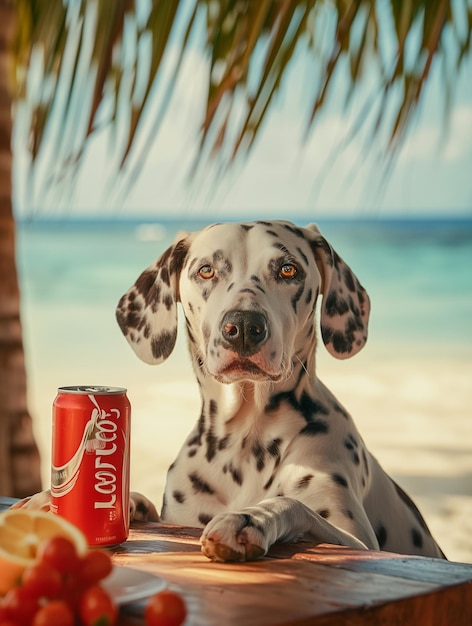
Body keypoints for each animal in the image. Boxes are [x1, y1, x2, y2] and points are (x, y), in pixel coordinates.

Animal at [19, 221, 446, 560]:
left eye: (288, 269)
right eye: (206, 270)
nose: (242, 326)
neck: (243, 440)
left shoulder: (356, 541)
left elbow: (293, 505)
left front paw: (248, 519)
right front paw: (50, 501)